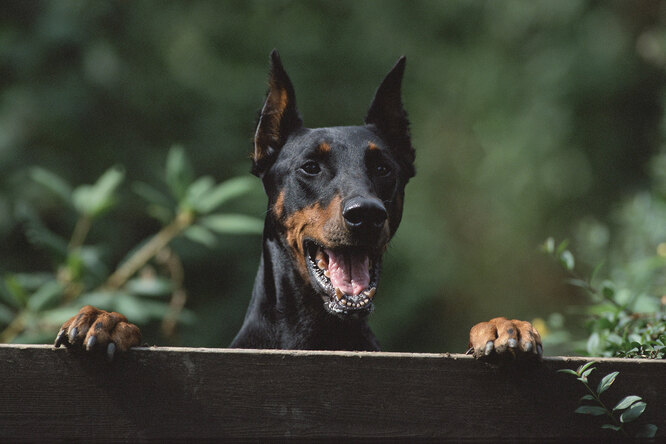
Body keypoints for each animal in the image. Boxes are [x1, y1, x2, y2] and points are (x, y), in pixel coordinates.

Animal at [53, 49, 540, 360]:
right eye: (310, 166)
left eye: (384, 168)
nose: (366, 214)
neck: (317, 336)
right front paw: (108, 321)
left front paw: (502, 327)